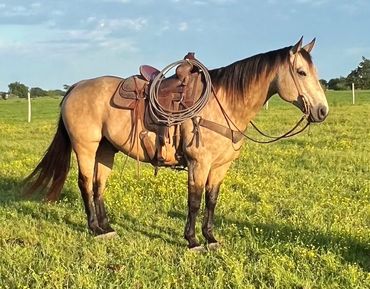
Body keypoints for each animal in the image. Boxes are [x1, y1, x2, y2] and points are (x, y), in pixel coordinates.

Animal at [24, 37, 328, 250]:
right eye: (301, 72)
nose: (322, 111)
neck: (224, 104)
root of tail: (75, 87)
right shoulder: (199, 163)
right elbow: (194, 201)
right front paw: (193, 241)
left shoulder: (220, 167)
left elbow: (211, 200)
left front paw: (211, 237)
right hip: (85, 146)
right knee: (86, 183)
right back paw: (94, 229)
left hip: (105, 150)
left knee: (99, 185)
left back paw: (107, 227)